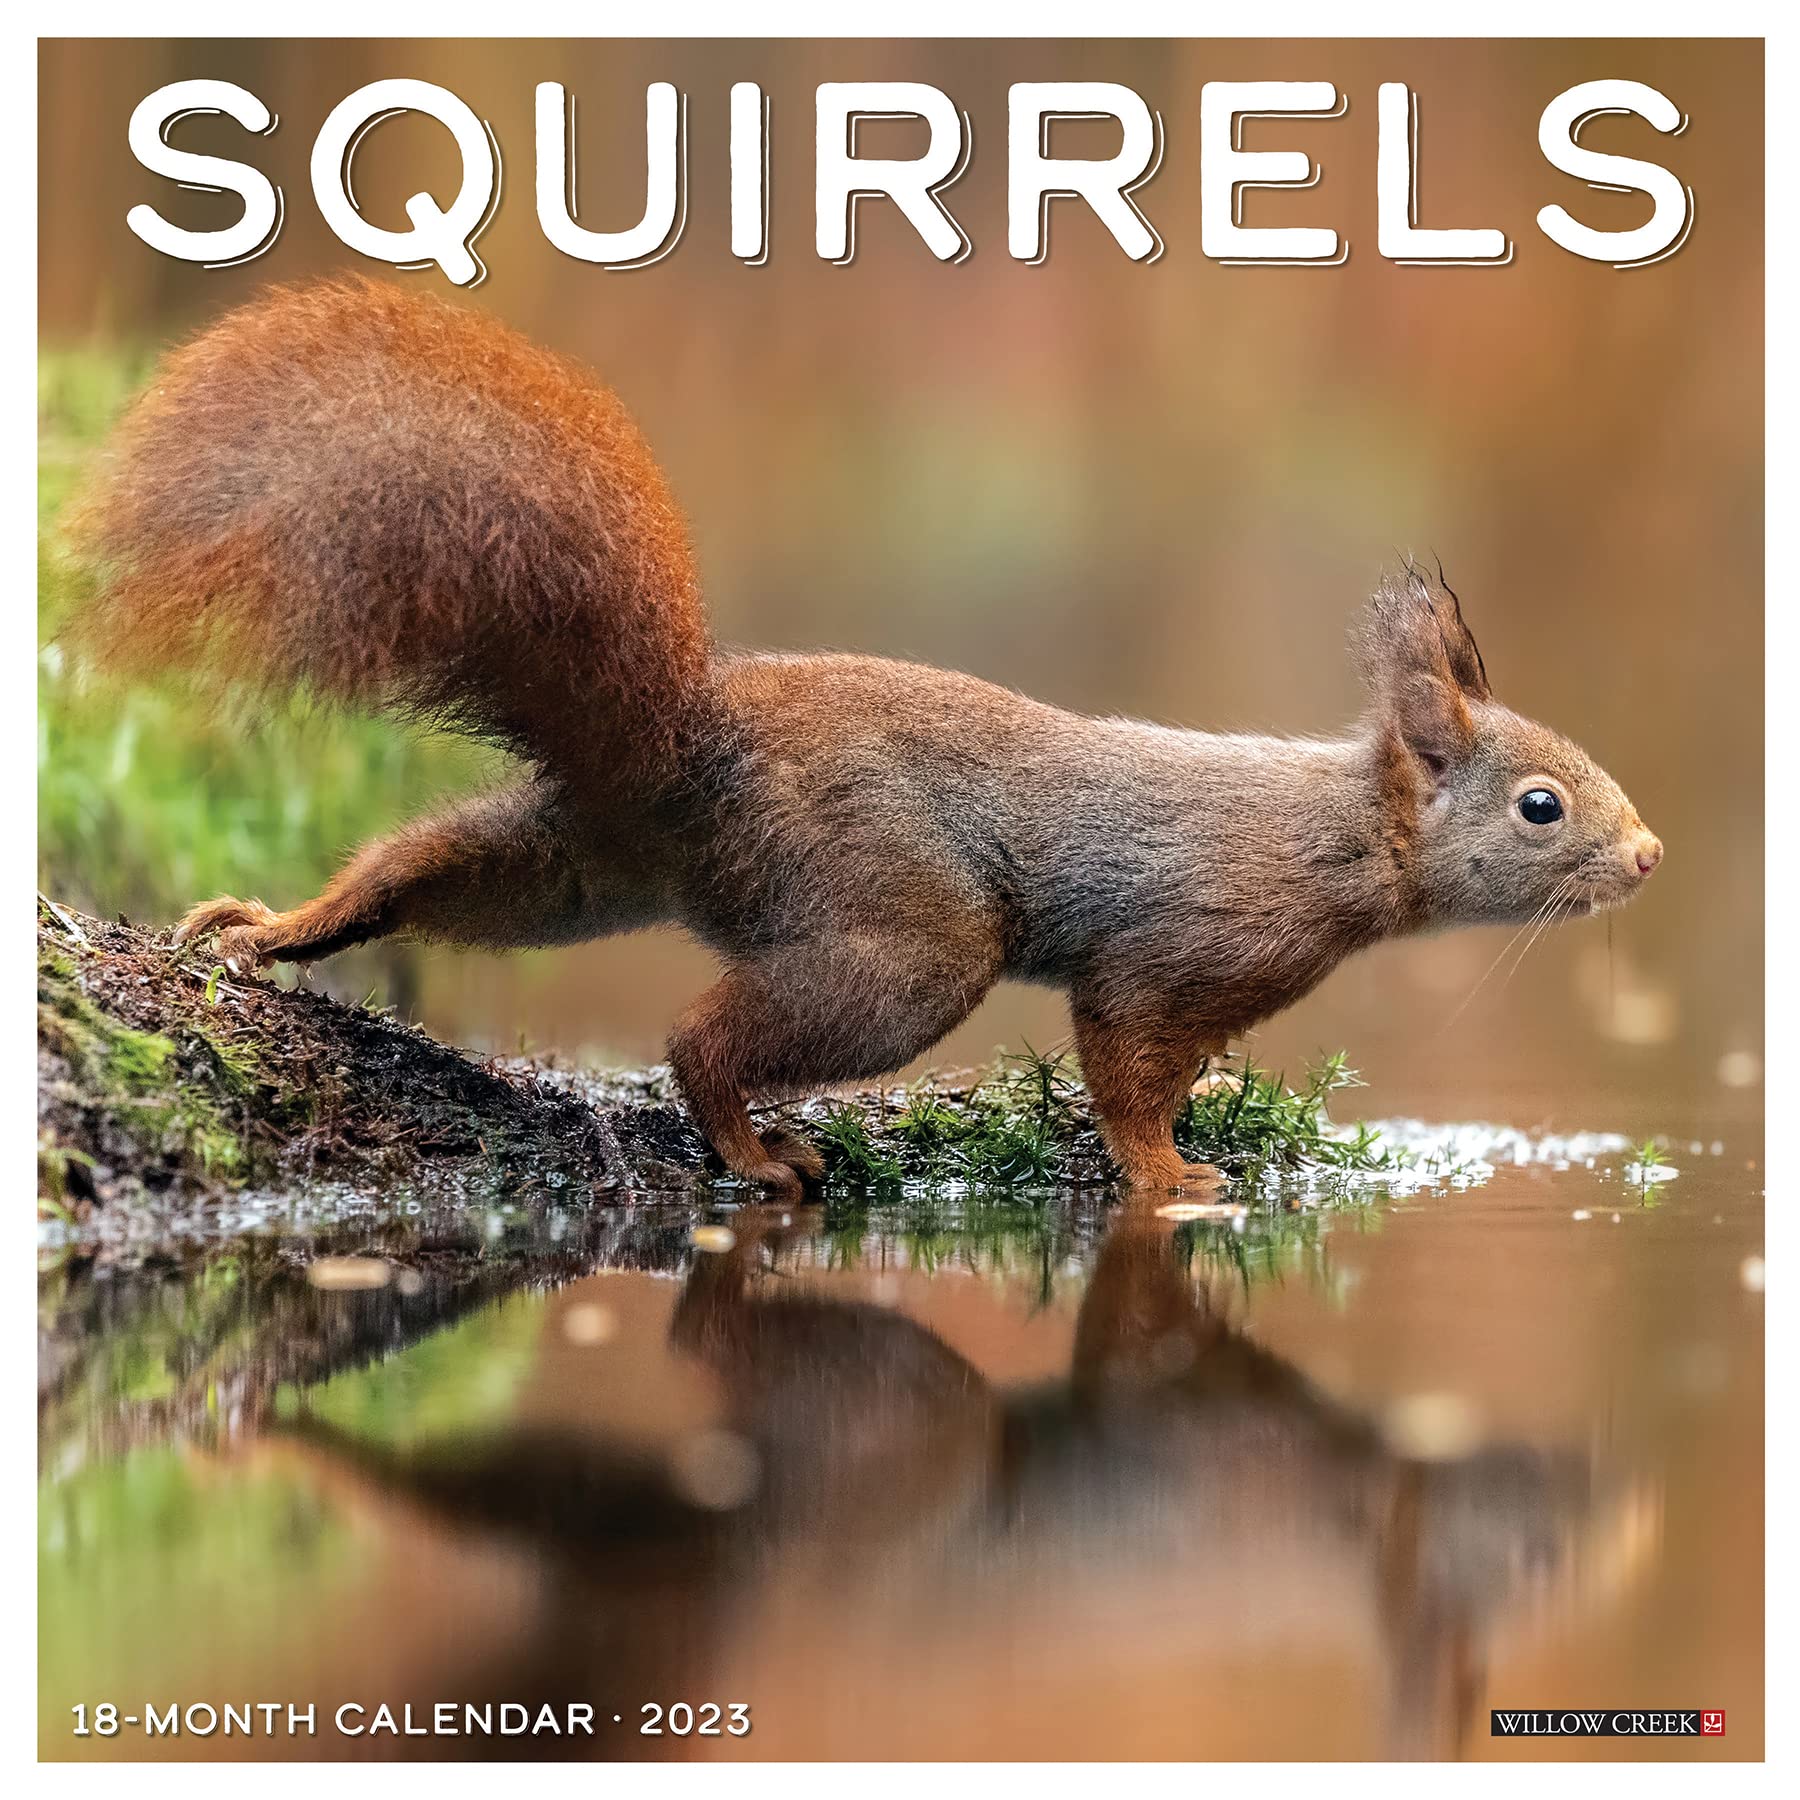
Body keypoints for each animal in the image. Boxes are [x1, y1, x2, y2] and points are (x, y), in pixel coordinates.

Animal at [65, 278, 1663, 1196]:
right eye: (1540, 805)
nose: (1647, 857)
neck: (1346, 838)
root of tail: (684, 737)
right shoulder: (1189, 941)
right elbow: (1125, 1057)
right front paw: (1171, 1172)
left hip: (585, 860)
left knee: (423, 869)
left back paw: (275, 927)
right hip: (901, 932)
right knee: (703, 1036)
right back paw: (746, 1144)